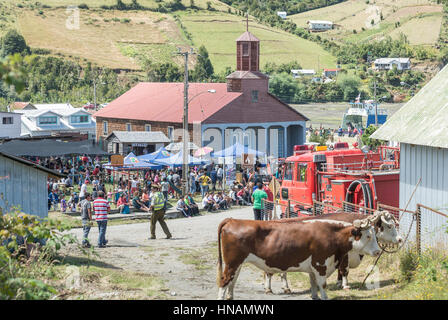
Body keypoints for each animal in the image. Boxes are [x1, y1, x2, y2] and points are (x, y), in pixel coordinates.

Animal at [215, 215, 380, 300]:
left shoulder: (313, 267)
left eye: (375, 234)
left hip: (236, 264)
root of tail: (233, 220)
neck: (332, 235)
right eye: (368, 235)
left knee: (232, 282)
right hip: (232, 263)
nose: (378, 251)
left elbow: (313, 284)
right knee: (224, 282)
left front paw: (315, 297)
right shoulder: (320, 264)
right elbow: (322, 285)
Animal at [264, 211, 400, 294]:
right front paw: (345, 285)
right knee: (269, 273)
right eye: (389, 226)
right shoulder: (345, 256)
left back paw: (283, 288)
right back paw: (270, 288)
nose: (400, 239)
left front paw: (339, 283)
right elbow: (344, 270)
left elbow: (339, 271)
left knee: (279, 273)